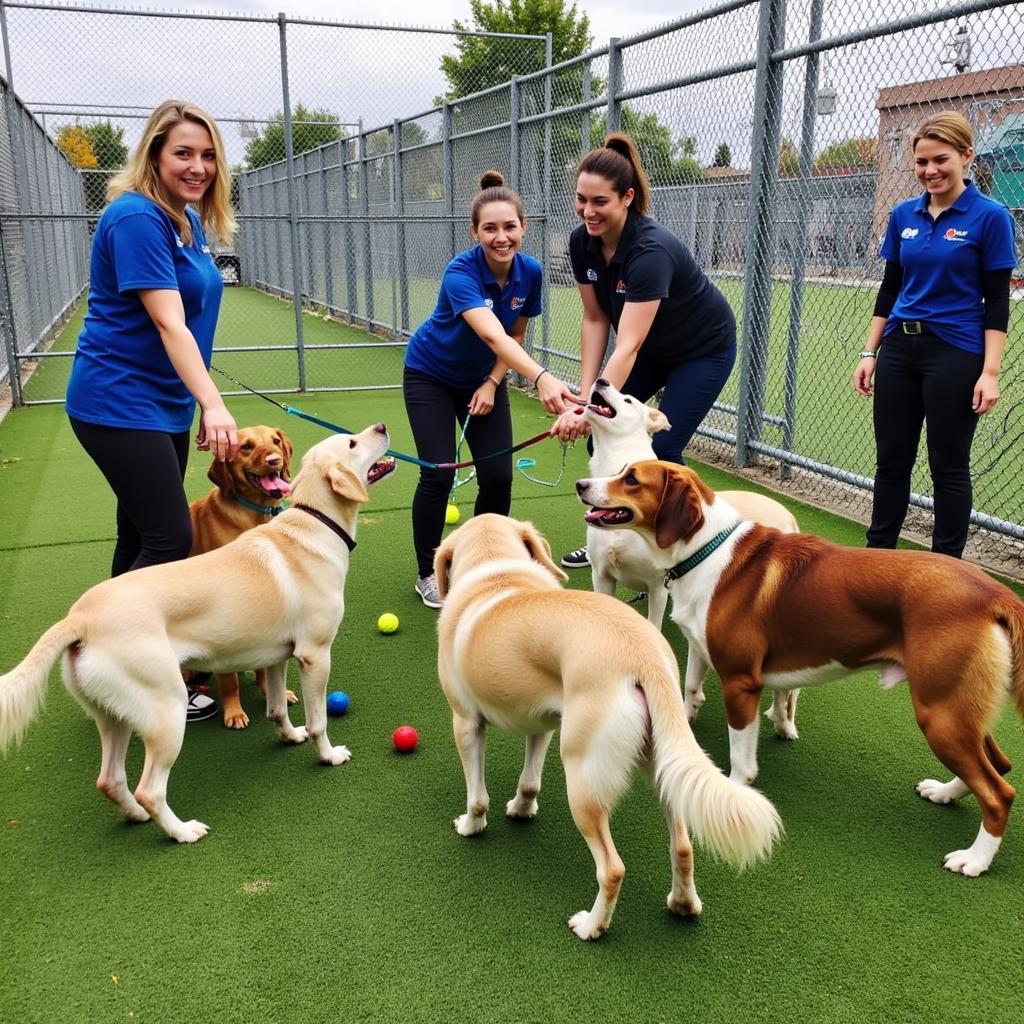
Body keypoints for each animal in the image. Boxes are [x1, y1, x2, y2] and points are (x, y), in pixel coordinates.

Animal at [189, 423, 296, 729]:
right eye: (246, 446)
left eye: (275, 441)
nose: (274, 460)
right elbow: (228, 680)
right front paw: (234, 711)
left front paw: (273, 691)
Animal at [430, 516, 774, 937]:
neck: (496, 573)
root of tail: (644, 656)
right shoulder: (541, 725)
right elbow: (529, 782)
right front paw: (522, 810)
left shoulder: (465, 724)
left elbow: (477, 797)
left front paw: (471, 825)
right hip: (658, 763)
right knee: (682, 845)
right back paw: (683, 904)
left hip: (583, 778)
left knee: (612, 868)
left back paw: (592, 926)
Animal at [577, 460, 1024, 876]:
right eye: (621, 471)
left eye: (632, 479)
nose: (582, 484)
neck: (707, 550)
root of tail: (995, 594)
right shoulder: (700, 649)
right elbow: (689, 692)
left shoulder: (741, 683)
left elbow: (741, 757)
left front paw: (735, 794)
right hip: (958, 707)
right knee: (996, 764)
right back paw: (945, 793)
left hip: (940, 713)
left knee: (999, 792)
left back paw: (975, 859)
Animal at [581, 380, 802, 733]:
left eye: (628, 399)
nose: (602, 380)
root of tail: (787, 515)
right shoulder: (601, 576)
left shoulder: (657, 586)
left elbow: (653, 628)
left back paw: (783, 719)